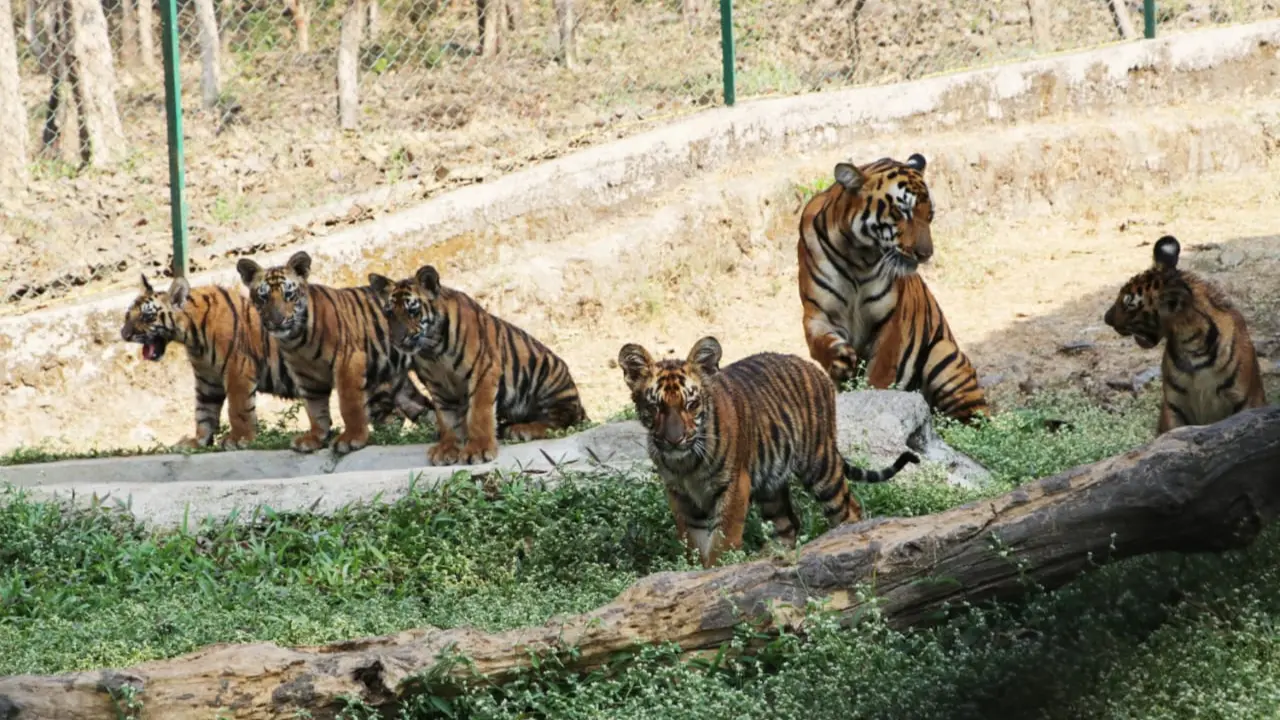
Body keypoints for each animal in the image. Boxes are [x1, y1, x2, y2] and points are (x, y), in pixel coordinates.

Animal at [235, 251, 435, 454]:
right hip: (396, 380)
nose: (277, 321)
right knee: (421, 407)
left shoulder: (348, 360)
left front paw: (351, 439)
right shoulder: (306, 375)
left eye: (288, 295)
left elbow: (350, 403)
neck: (296, 340)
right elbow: (315, 408)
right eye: (263, 297)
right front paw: (315, 438)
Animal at [369, 264, 589, 466]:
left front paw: (479, 450)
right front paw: (447, 449)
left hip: (549, 376)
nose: (397, 340)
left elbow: (479, 413)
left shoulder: (483, 370)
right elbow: (446, 418)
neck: (433, 351)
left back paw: (522, 429)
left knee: (561, 420)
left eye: (412, 311)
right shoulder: (437, 385)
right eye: (389, 314)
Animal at [618, 336, 920, 569]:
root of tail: (812, 367)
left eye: (691, 405)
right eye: (654, 407)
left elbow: (722, 541)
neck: (686, 463)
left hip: (820, 466)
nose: (674, 440)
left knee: (849, 509)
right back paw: (770, 559)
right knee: (788, 524)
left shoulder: (734, 485)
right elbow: (692, 543)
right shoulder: (680, 495)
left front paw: (718, 572)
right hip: (771, 484)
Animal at [797, 153, 989, 425]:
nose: (926, 254)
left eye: (929, 215)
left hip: (944, 355)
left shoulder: (891, 317)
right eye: (902, 212)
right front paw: (840, 360)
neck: (857, 256)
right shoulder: (817, 313)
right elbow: (819, 342)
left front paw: (874, 399)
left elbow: (880, 371)